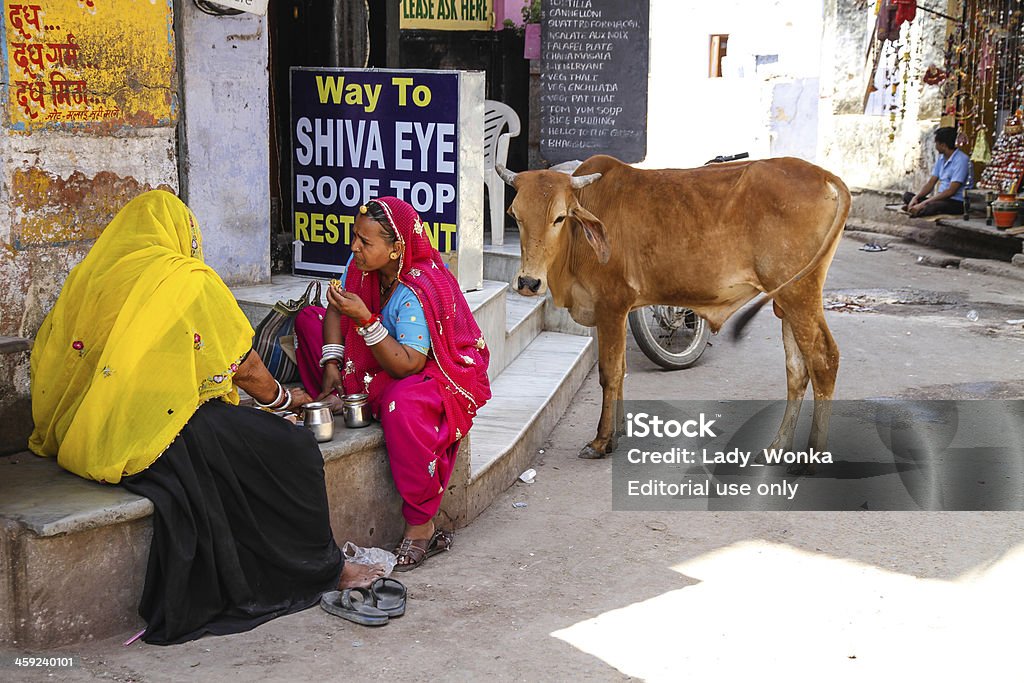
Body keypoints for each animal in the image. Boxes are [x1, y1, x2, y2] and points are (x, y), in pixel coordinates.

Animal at [499, 155, 851, 473]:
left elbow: (609, 373)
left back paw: (813, 458)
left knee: (823, 360)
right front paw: (620, 431)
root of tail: (825, 175)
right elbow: (622, 369)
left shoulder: (612, 306)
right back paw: (778, 447)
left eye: (559, 217)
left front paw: (602, 441)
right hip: (787, 300)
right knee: (797, 369)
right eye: (515, 215)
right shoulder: (615, 311)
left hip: (800, 294)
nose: (528, 282)